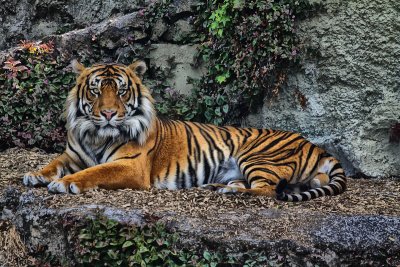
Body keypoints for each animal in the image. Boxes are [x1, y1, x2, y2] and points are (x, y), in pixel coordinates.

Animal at [21, 60, 346, 202]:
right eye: (96, 90)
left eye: (122, 91)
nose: (109, 114)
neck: (96, 134)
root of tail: (314, 144)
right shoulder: (72, 155)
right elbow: (53, 164)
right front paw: (35, 175)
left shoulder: (132, 166)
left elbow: (94, 172)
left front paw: (64, 184)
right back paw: (218, 187)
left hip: (258, 157)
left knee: (266, 190)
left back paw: (228, 192)